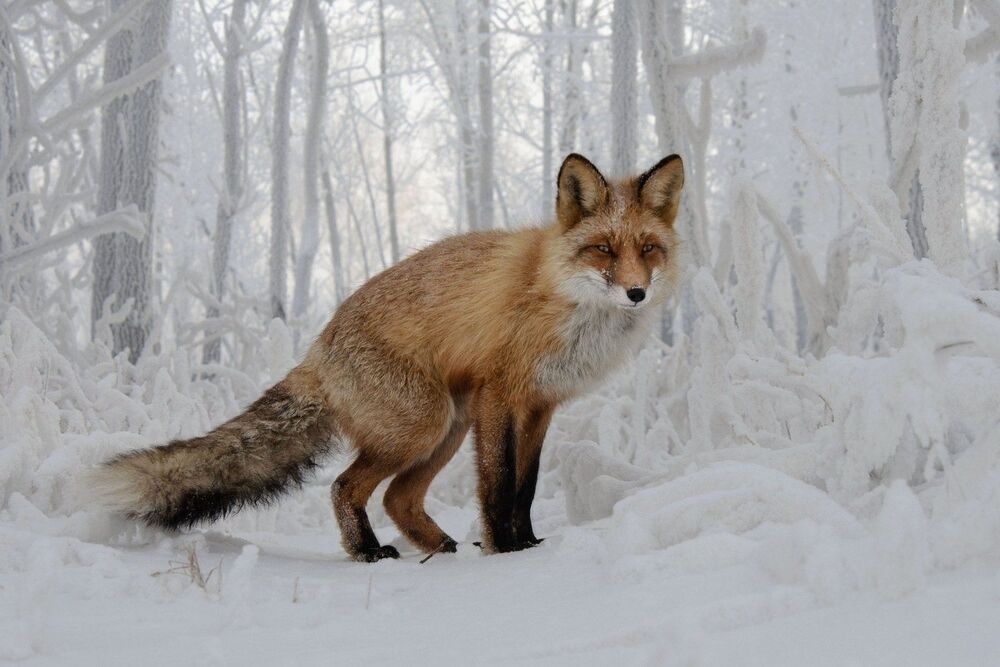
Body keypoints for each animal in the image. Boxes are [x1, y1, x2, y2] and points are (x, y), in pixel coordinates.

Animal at [90, 153, 684, 562]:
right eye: (603, 249)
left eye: (648, 249)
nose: (636, 293)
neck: (563, 301)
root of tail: (319, 348)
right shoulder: (500, 395)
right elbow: (497, 484)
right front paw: (504, 551)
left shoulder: (540, 405)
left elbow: (526, 486)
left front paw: (530, 543)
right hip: (424, 424)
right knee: (345, 486)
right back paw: (367, 552)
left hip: (448, 427)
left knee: (398, 498)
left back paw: (439, 547)